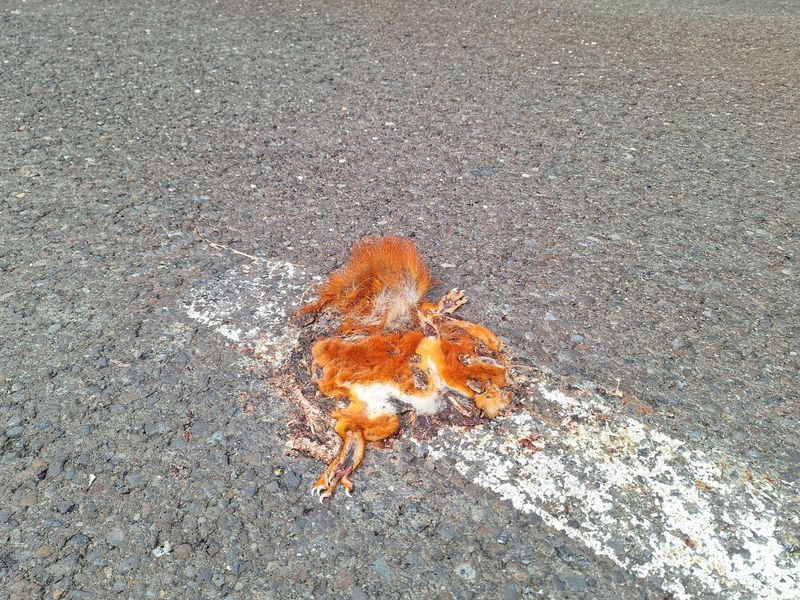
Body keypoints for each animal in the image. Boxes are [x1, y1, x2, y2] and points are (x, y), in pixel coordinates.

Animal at [297, 236, 511, 500]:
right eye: (482, 350)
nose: (507, 377)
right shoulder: (442, 357)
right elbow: (436, 336)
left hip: (382, 416)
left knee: (352, 431)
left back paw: (338, 471)